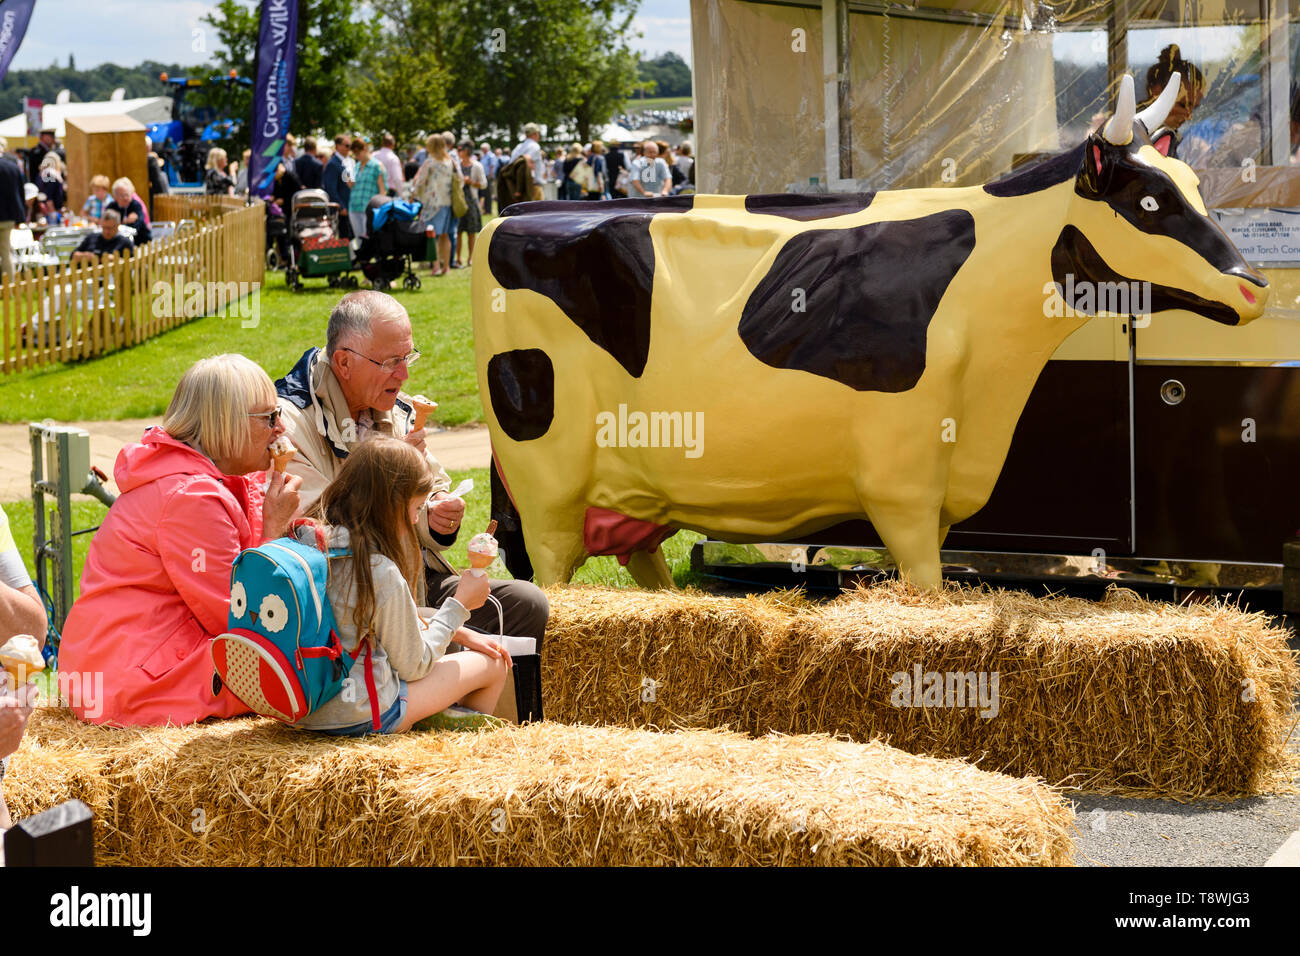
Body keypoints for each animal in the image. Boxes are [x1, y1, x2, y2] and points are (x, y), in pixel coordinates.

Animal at [473, 74, 1263, 587]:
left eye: (1196, 186)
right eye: (1151, 202)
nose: (1252, 285)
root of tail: (516, 211)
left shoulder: (947, 473)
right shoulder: (900, 475)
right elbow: (925, 582)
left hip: (632, 488)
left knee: (641, 562)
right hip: (546, 474)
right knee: (552, 571)